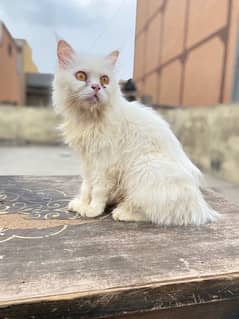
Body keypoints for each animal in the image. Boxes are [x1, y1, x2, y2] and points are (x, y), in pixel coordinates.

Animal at [52, 39, 218, 225]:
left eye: (105, 80)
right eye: (81, 76)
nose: (96, 87)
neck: (88, 117)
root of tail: (199, 207)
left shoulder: (104, 162)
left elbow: (98, 189)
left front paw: (93, 210)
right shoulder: (88, 160)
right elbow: (87, 186)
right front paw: (81, 204)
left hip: (144, 170)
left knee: (157, 213)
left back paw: (122, 212)